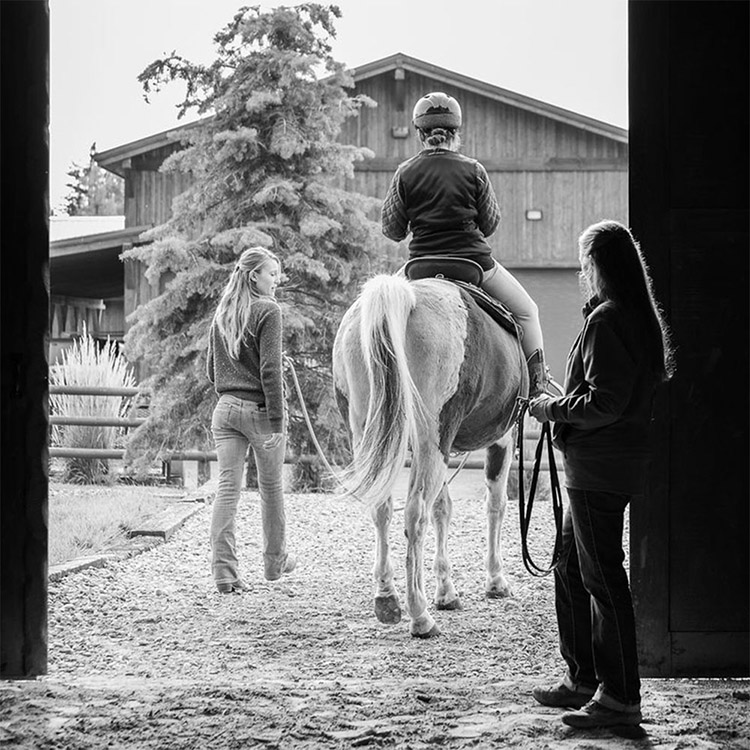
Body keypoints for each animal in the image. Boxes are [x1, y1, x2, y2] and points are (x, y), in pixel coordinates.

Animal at [334, 274, 528, 636]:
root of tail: (405, 297)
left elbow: (443, 509)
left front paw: (446, 591)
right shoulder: (502, 439)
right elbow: (495, 505)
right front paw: (495, 581)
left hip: (373, 437)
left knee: (383, 509)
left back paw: (387, 597)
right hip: (431, 442)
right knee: (415, 514)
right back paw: (420, 615)